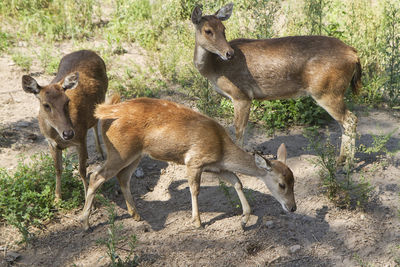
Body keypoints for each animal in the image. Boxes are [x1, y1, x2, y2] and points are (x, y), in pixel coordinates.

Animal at [20, 49, 108, 201]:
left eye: (67, 101)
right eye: (46, 105)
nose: (68, 133)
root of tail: (89, 51)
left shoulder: (81, 138)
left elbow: (82, 171)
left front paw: (88, 199)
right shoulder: (51, 143)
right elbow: (57, 168)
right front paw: (57, 198)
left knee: (96, 123)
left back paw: (101, 153)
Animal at [79, 96, 296, 232]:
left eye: (294, 181)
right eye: (281, 184)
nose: (293, 207)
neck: (221, 149)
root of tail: (105, 112)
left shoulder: (217, 167)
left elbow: (237, 182)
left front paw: (244, 220)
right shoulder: (194, 160)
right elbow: (195, 189)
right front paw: (197, 221)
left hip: (135, 155)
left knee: (122, 177)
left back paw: (136, 215)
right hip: (120, 151)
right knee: (96, 175)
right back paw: (86, 223)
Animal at [191, 3, 362, 166]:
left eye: (223, 29)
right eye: (208, 30)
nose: (229, 53)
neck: (215, 68)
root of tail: (354, 54)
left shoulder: (242, 95)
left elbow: (239, 130)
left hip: (327, 91)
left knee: (350, 119)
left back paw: (348, 165)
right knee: (343, 122)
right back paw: (341, 160)